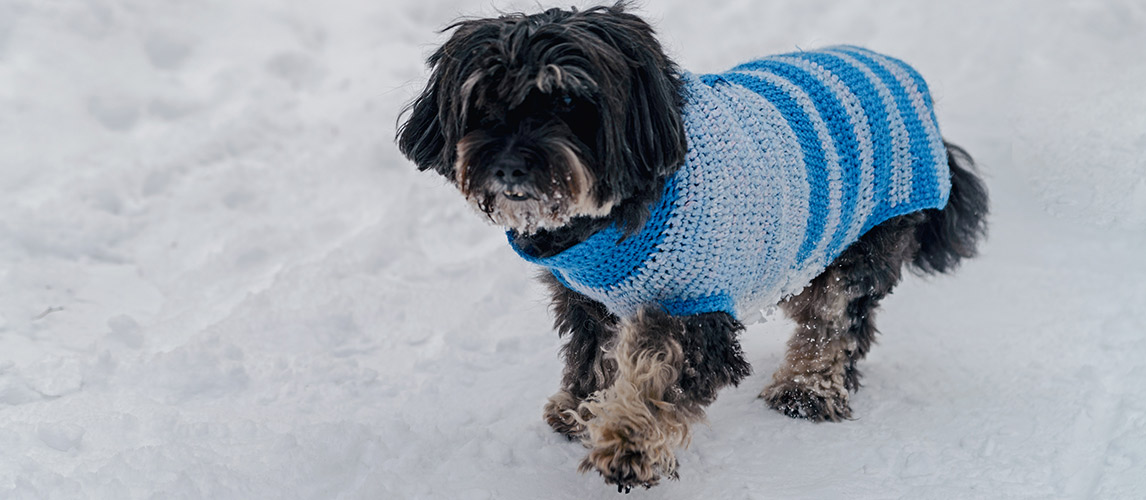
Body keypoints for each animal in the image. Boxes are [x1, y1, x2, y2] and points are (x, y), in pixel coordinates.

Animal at [396, 2, 985, 493]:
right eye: (485, 100)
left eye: (566, 100)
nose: (510, 165)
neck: (610, 215)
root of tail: (906, 79)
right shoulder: (589, 299)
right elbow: (593, 353)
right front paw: (581, 408)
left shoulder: (693, 310)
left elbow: (657, 375)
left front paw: (628, 442)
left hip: (862, 244)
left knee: (835, 321)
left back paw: (808, 389)